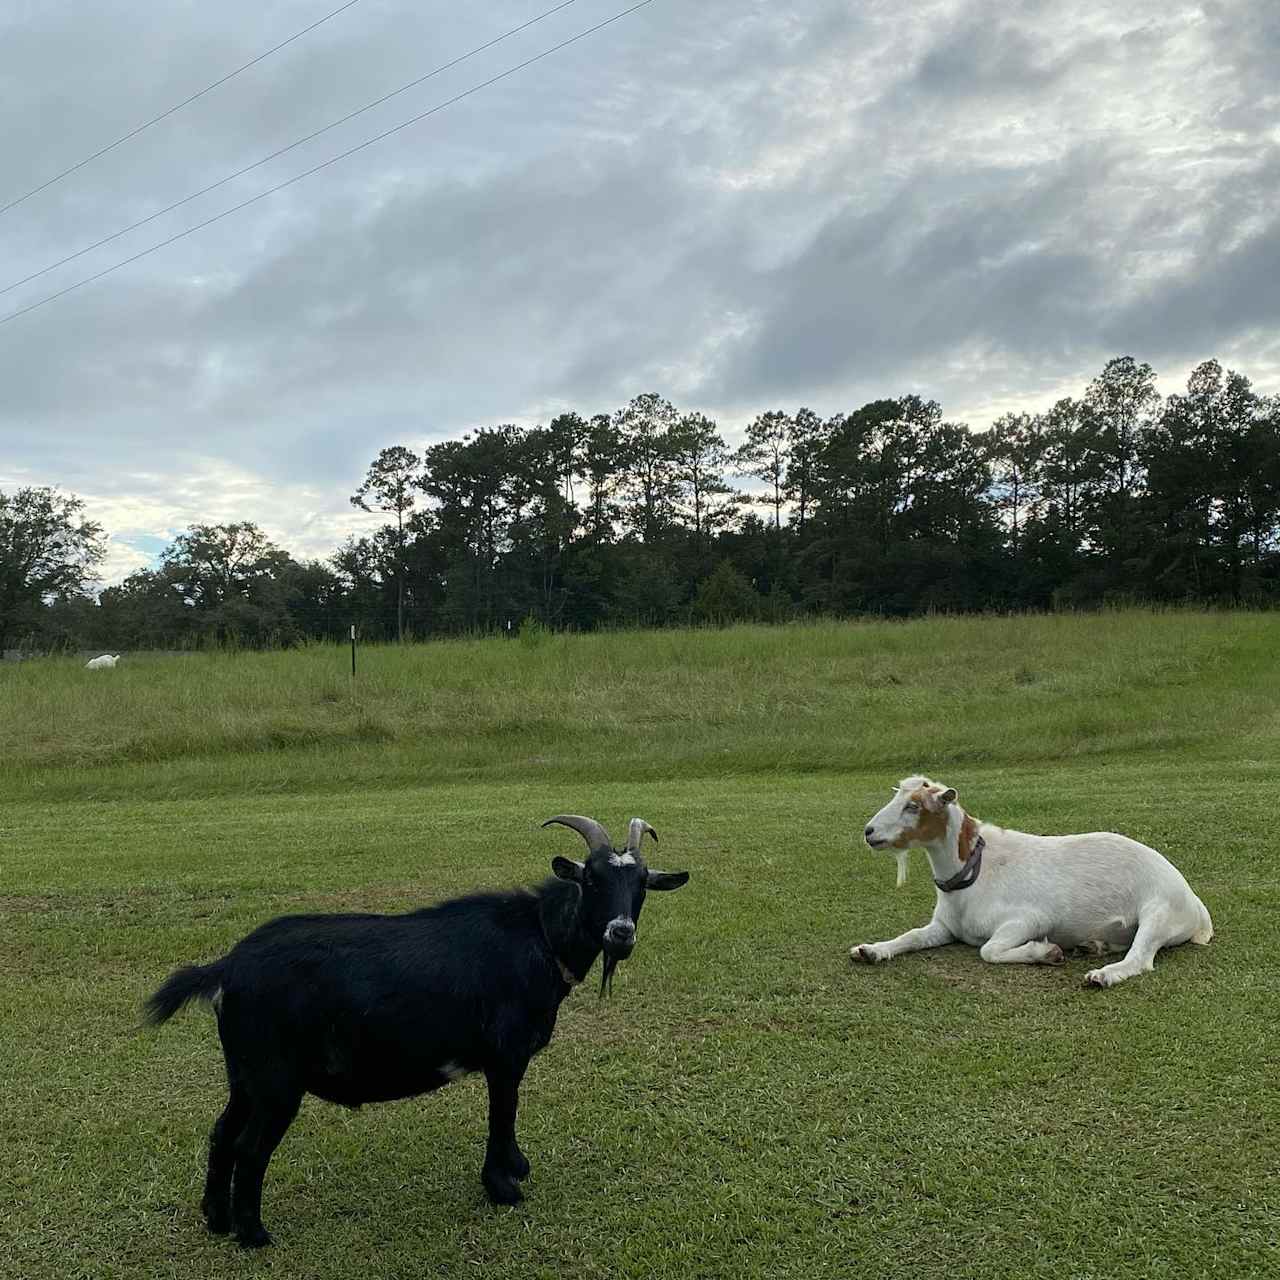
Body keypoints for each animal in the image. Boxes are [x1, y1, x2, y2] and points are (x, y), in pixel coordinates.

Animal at [145, 814, 691, 1244]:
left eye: (642, 883)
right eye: (592, 880)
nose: (620, 933)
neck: (538, 936)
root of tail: (227, 968)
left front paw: (516, 1168)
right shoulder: (505, 1056)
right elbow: (502, 1114)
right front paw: (503, 1187)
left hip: (245, 1074)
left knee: (222, 1133)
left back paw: (217, 1220)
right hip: (277, 1081)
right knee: (249, 1147)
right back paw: (253, 1235)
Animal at [849, 768, 1208, 988]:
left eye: (913, 806)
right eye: (897, 798)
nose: (869, 832)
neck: (976, 871)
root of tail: (1195, 904)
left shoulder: (1030, 919)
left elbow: (989, 950)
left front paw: (1045, 953)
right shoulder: (944, 928)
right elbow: (911, 936)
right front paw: (872, 950)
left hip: (1159, 912)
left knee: (1140, 957)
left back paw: (1104, 974)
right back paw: (1094, 946)